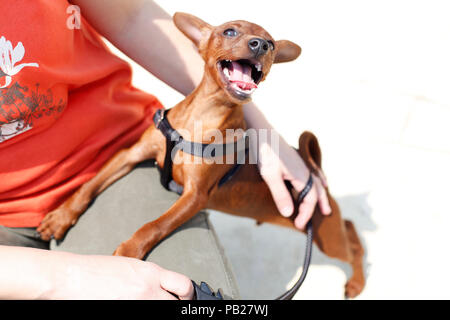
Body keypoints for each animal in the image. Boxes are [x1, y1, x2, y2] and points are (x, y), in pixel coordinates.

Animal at [37, 12, 366, 298]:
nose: (260, 45)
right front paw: (62, 215)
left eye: (271, 44)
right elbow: (89, 185)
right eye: (230, 31)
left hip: (324, 233)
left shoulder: (195, 196)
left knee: (352, 240)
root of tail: (313, 170)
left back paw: (358, 281)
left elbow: (153, 225)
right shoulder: (131, 155)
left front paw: (129, 253)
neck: (199, 117)